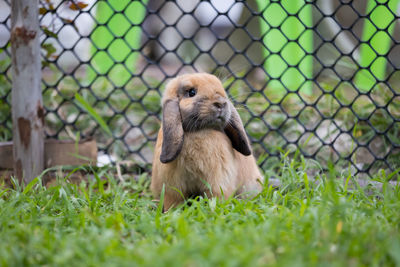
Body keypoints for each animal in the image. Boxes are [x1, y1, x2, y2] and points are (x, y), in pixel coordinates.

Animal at [151, 73, 262, 211]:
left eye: (221, 89)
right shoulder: (173, 188)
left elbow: (217, 195)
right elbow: (174, 202)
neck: (199, 131)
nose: (221, 103)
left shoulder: (218, 182)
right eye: (192, 92)